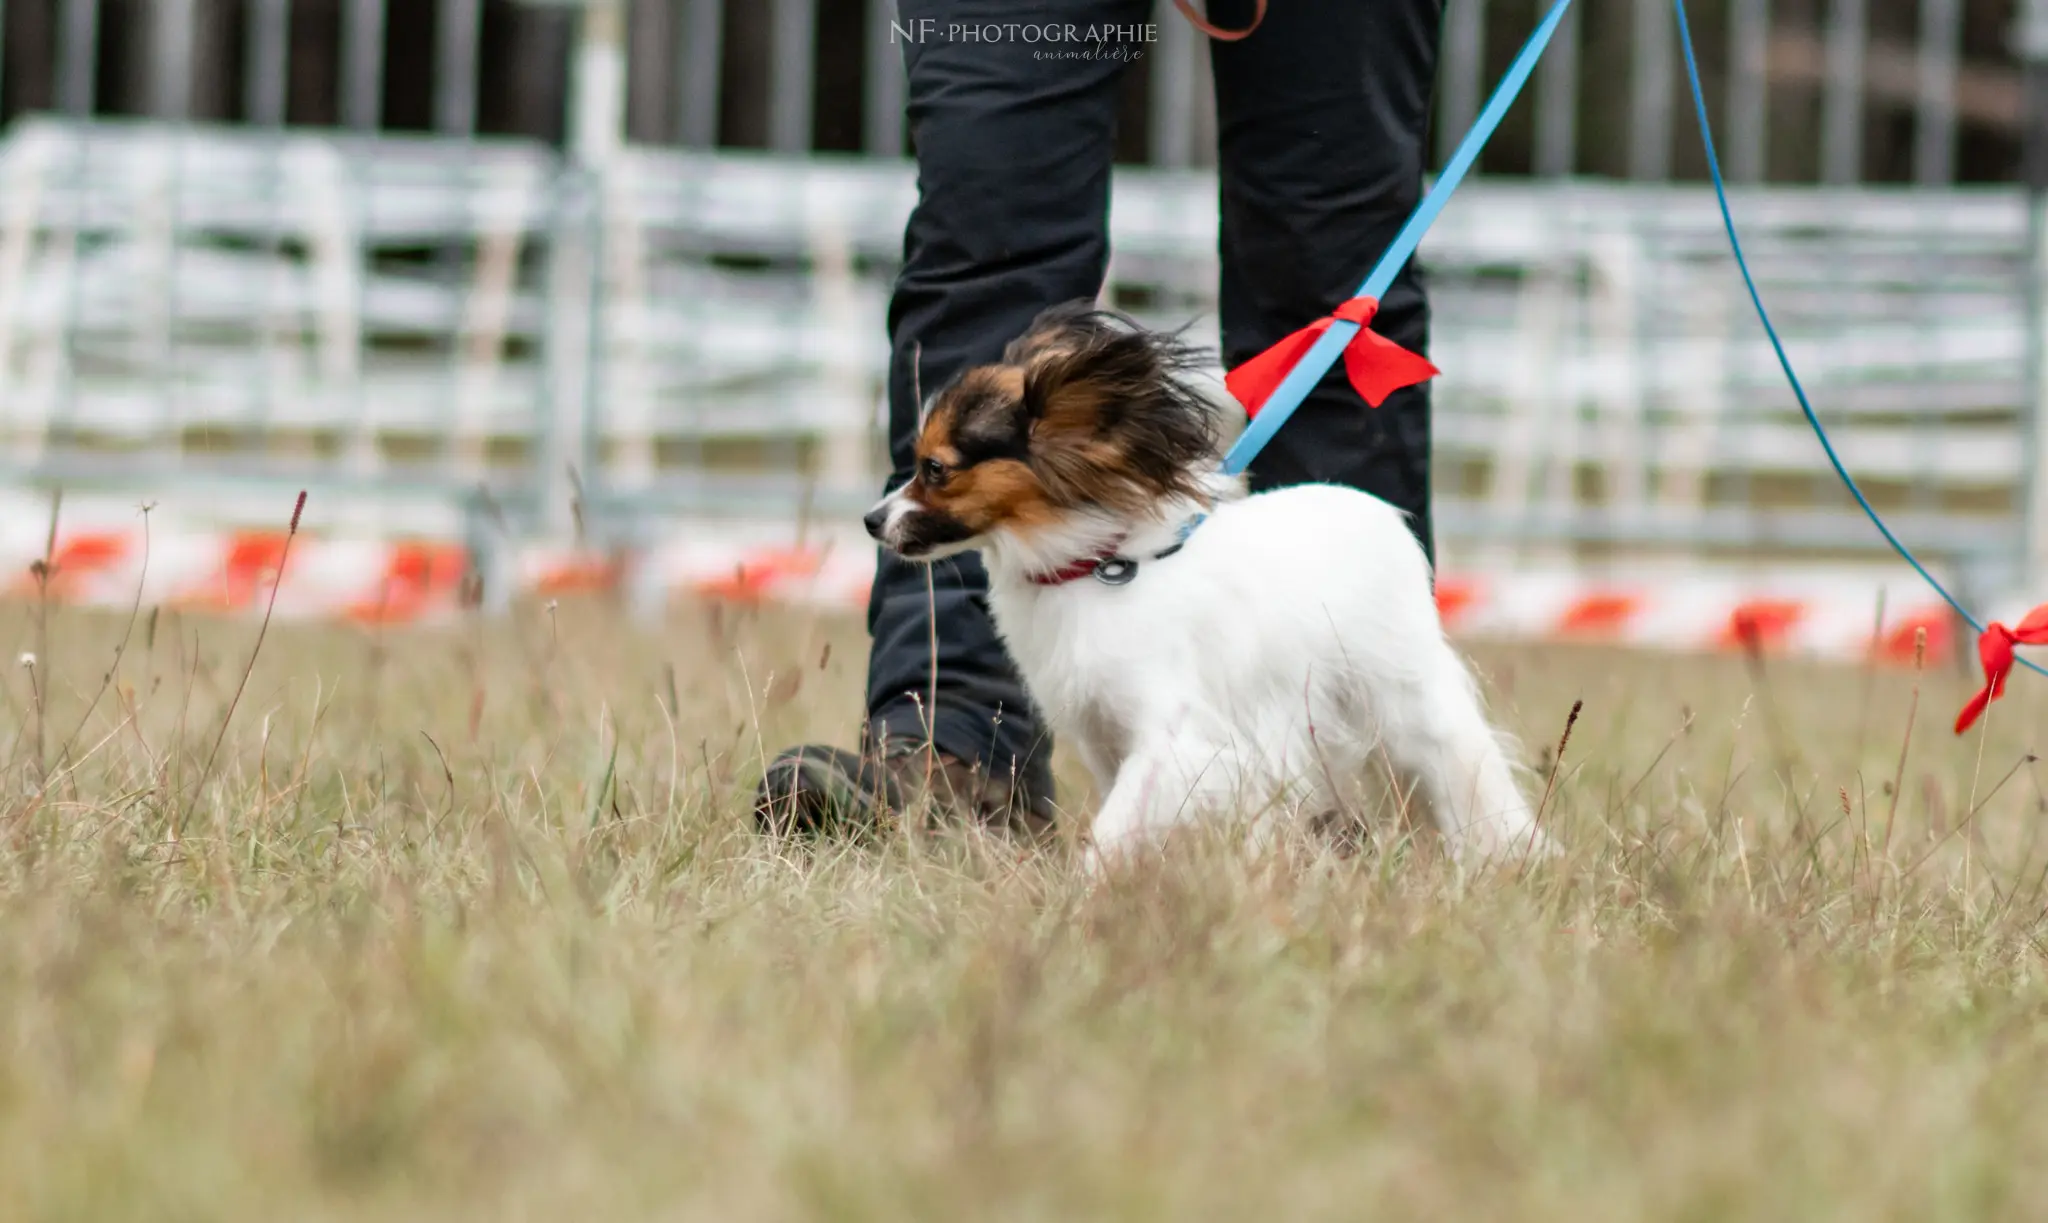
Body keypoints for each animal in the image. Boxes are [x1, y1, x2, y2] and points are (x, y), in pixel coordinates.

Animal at [864, 299, 1548, 864]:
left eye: (935, 469)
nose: (872, 520)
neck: (1095, 565)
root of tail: (1372, 511)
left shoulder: (1179, 740)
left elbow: (1116, 826)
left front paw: (1087, 889)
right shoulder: (1108, 738)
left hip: (1407, 703)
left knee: (1466, 773)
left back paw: (1511, 854)